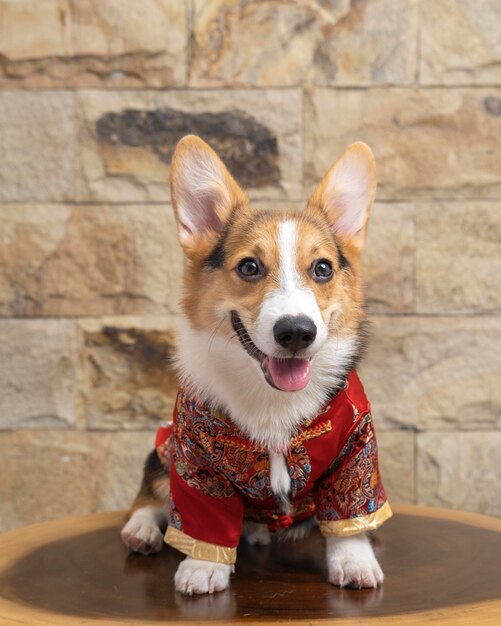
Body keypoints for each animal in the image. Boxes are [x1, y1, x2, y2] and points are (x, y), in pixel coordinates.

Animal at [122, 135, 390, 596]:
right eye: (249, 266)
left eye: (323, 268)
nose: (296, 332)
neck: (270, 396)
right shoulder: (194, 457)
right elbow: (201, 518)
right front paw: (202, 566)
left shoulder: (356, 447)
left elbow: (349, 515)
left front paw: (355, 561)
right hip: (165, 444)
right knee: (152, 489)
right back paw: (141, 529)